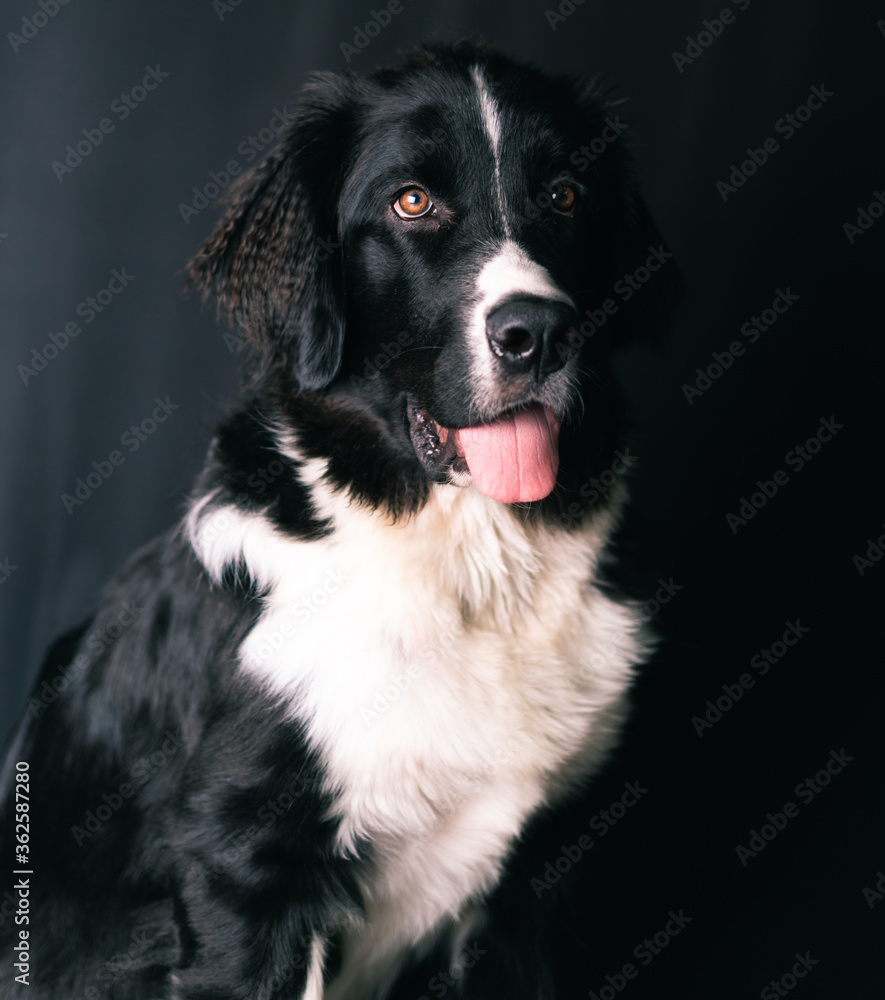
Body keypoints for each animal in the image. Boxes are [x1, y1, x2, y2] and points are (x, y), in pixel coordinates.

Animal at [0, 41, 676, 1000]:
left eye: (563, 195)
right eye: (411, 201)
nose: (538, 331)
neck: (463, 560)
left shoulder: (543, 883)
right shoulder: (247, 870)